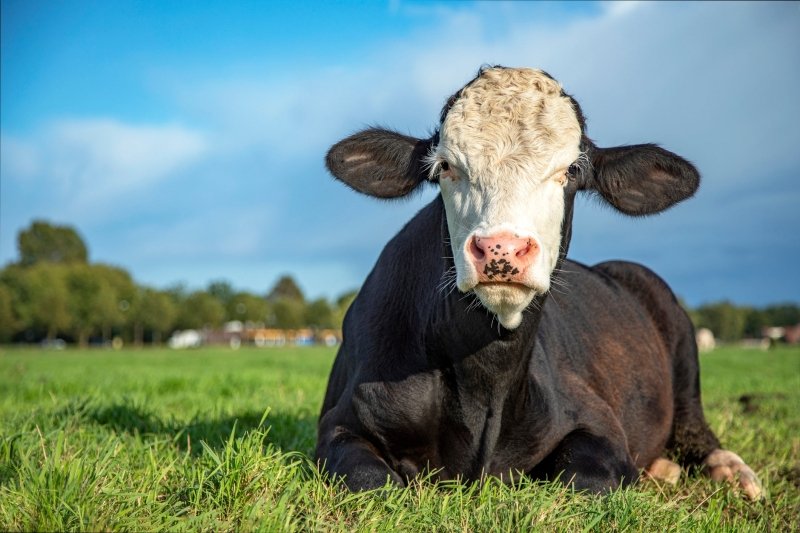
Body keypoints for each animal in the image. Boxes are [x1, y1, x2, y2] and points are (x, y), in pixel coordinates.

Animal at [314, 65, 764, 498]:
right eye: (445, 166)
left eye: (571, 170)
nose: (501, 248)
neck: (485, 385)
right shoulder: (339, 423)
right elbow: (372, 481)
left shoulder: (599, 424)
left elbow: (584, 480)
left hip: (680, 342)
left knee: (693, 424)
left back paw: (730, 471)